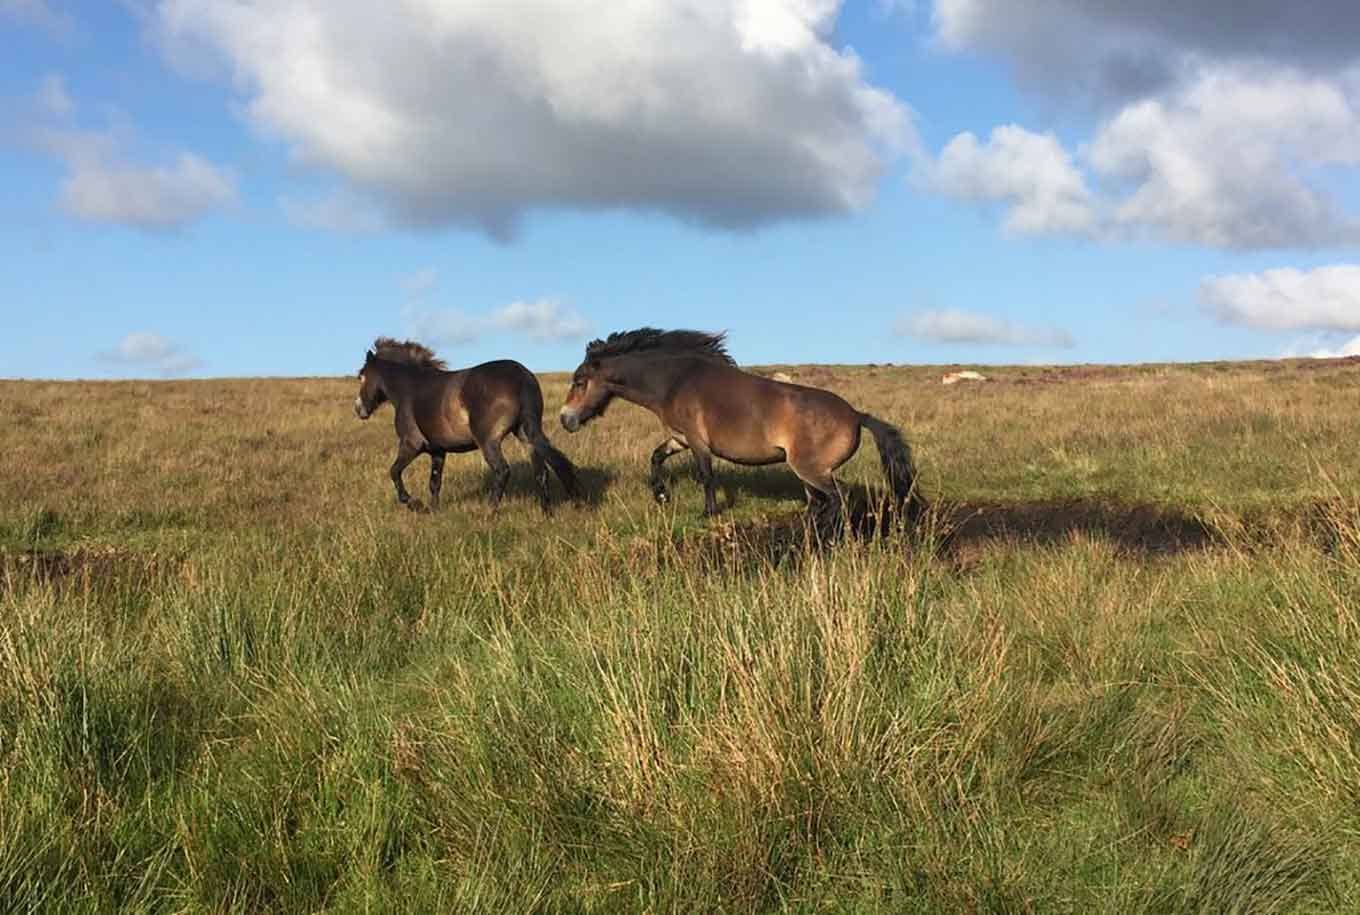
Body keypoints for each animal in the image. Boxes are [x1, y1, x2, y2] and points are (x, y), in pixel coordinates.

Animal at [354, 338, 580, 512]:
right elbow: (434, 482)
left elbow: (394, 471)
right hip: (526, 434)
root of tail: (522, 378)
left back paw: (490, 513)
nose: (358, 409)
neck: (409, 389)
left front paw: (413, 503)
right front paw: (432, 511)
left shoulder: (411, 444)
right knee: (542, 472)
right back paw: (547, 513)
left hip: (488, 441)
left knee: (503, 471)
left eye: (362, 376)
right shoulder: (438, 451)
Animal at [557, 328, 925, 526]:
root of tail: (856, 415)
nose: (565, 419)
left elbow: (706, 476)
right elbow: (656, 457)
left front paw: (707, 512)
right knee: (821, 502)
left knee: (839, 499)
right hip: (810, 473)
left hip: (810, 469)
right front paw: (661, 495)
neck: (674, 381)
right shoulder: (679, 439)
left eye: (579, 381)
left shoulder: (697, 442)